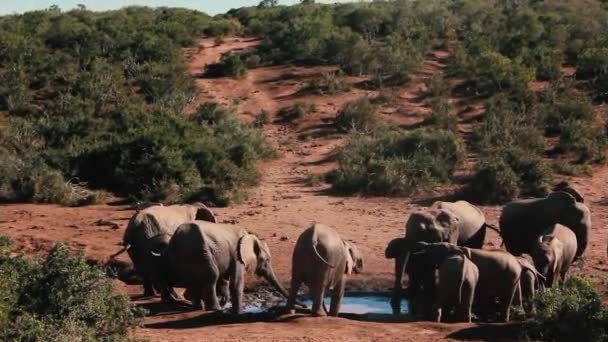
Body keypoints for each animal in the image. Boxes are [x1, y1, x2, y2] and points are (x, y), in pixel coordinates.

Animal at [154, 220, 292, 314]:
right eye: (267, 260)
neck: (250, 236)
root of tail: (176, 238)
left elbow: (225, 280)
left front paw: (227, 303)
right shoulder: (237, 255)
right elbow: (236, 282)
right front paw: (238, 313)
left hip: (180, 258)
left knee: (190, 282)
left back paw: (198, 307)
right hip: (201, 252)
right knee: (211, 277)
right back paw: (215, 309)